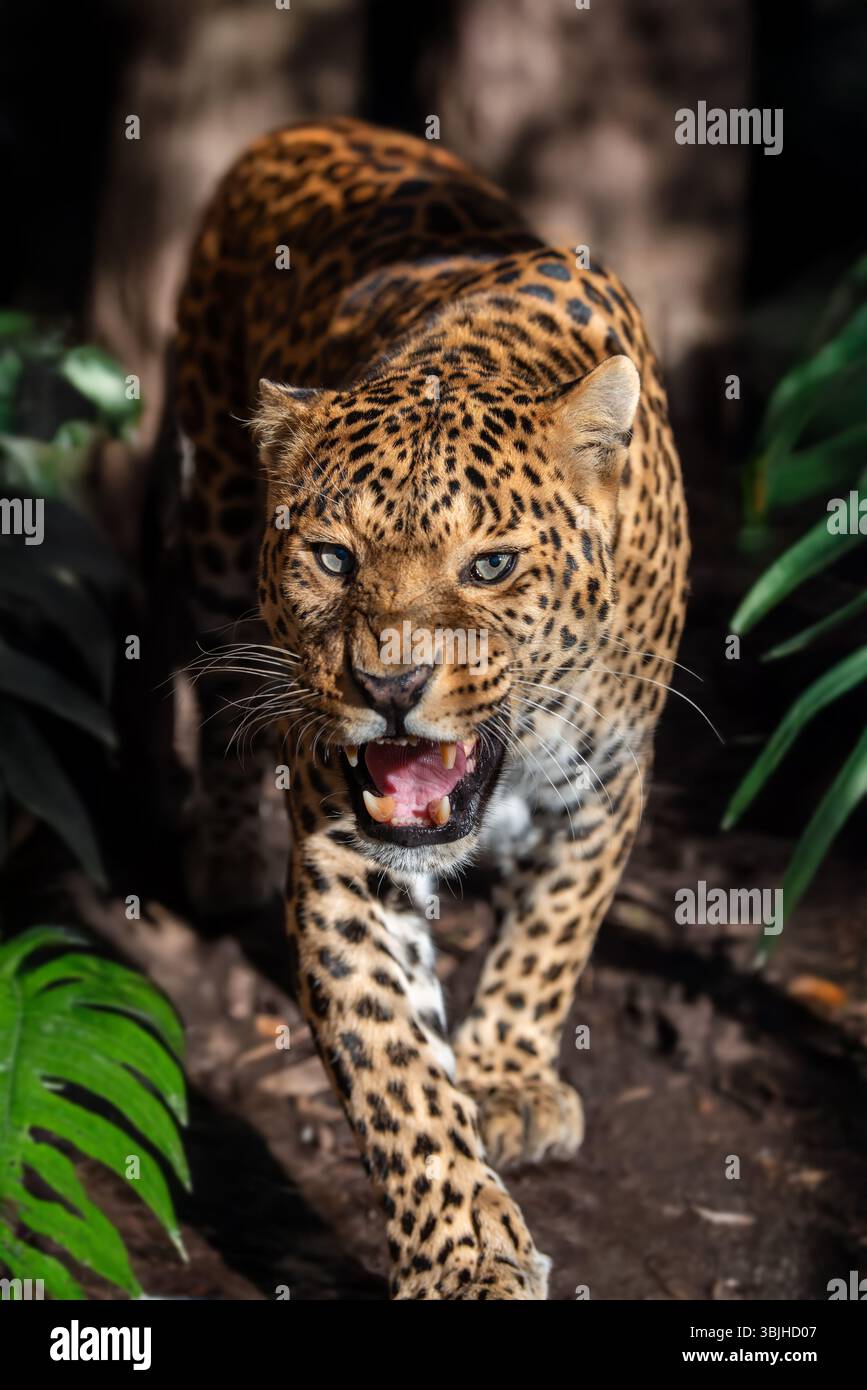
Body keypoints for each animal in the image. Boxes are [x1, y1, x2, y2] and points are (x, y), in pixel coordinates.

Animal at [173, 116, 689, 1300]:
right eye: (332, 557)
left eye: (490, 565)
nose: (391, 685)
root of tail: (306, 125)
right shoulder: (341, 850)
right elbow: (397, 1073)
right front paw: (465, 1253)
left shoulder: (613, 781)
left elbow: (554, 930)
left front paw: (504, 1077)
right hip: (211, 522)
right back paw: (215, 854)